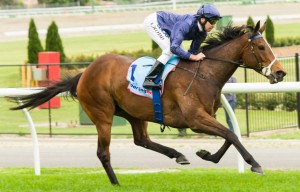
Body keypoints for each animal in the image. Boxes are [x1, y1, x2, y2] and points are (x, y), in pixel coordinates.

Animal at [9, 21, 286, 186]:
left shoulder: (207, 116)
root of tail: (84, 73)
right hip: (102, 114)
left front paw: (206, 155)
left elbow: (230, 135)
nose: (281, 73)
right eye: (261, 46)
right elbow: (232, 135)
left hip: (133, 112)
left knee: (141, 140)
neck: (204, 73)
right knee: (103, 152)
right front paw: (255, 164)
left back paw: (178, 155)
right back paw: (116, 183)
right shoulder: (195, 119)